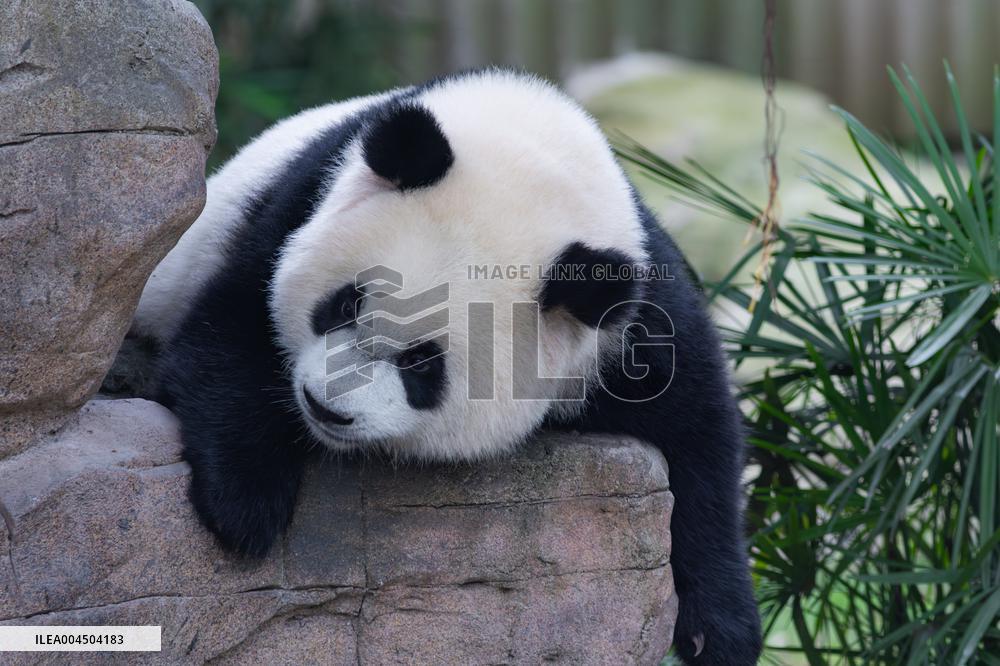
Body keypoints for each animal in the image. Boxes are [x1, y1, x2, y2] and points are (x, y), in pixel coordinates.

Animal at [133, 69, 761, 665]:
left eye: (422, 364)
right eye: (346, 304)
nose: (326, 407)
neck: (533, 147)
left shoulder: (638, 314)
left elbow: (701, 442)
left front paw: (720, 634)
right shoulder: (299, 203)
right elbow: (229, 328)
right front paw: (246, 504)